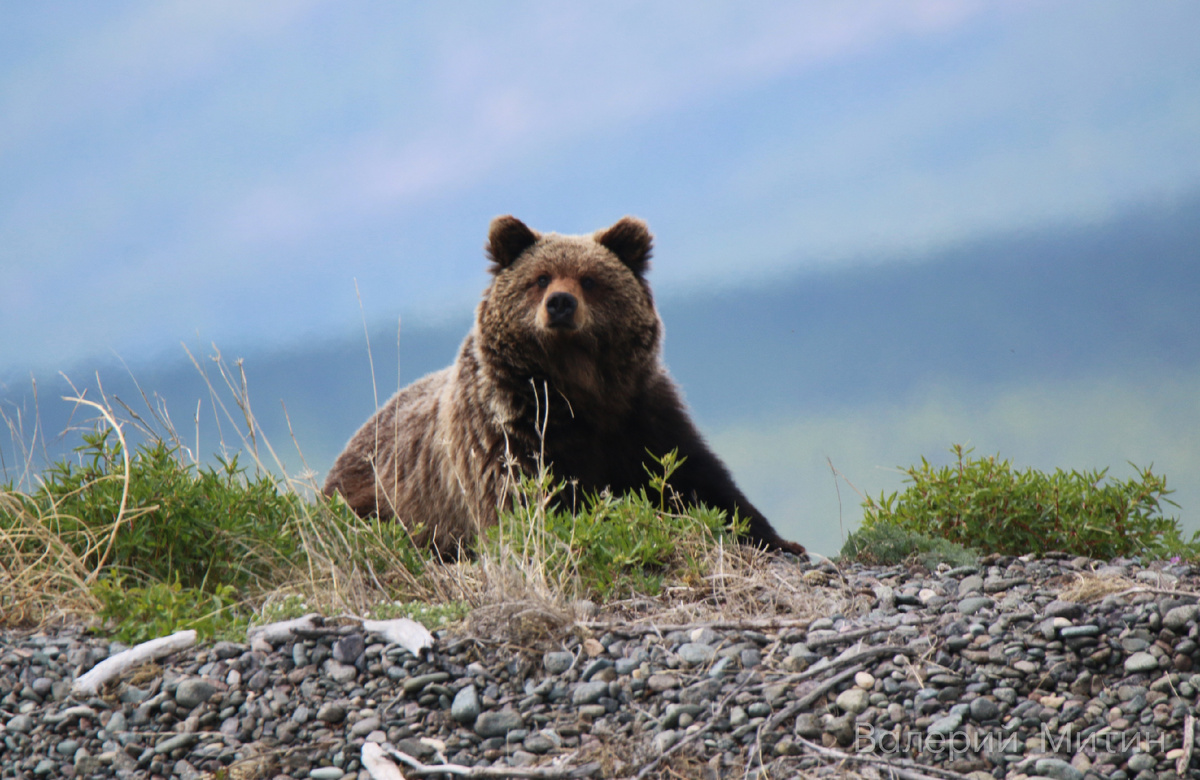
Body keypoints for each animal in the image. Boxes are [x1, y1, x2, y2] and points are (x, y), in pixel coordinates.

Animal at [324, 212, 801, 552]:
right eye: (539, 278)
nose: (559, 303)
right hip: (370, 497)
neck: (578, 391)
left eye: (590, 279)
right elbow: (531, 504)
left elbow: (696, 479)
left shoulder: (640, 413)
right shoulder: (510, 433)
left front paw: (780, 540)